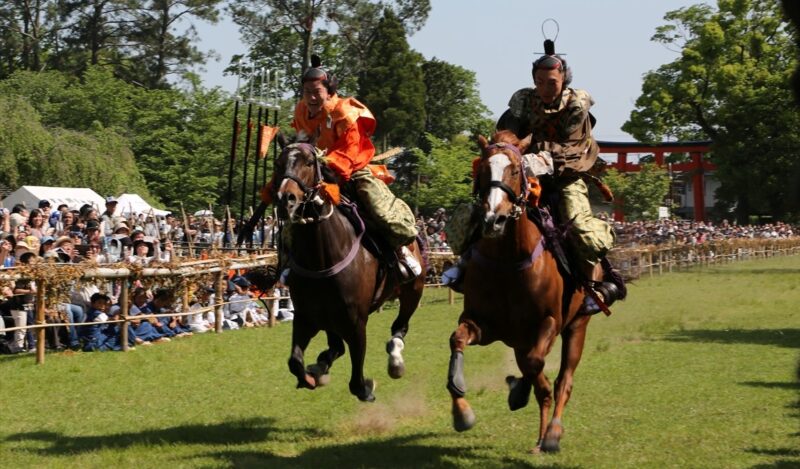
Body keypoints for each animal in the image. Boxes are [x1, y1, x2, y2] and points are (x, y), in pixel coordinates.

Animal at [270, 139, 424, 402]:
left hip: (413, 291)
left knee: (399, 328)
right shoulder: (305, 317)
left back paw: (395, 360)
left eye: (309, 163)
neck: (322, 257)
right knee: (336, 346)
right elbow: (295, 361)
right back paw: (320, 366)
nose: (286, 199)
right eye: (279, 163)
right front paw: (310, 377)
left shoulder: (355, 321)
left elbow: (356, 377)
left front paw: (366, 387)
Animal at [446, 130, 592, 452]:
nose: (493, 219)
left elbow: (537, 364)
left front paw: (531, 393)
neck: (508, 260)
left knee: (564, 379)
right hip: (519, 337)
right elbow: (457, 339)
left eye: (515, 170)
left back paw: (550, 433)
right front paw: (462, 412)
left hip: (577, 324)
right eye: (483, 168)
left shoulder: (549, 321)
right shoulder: (482, 323)